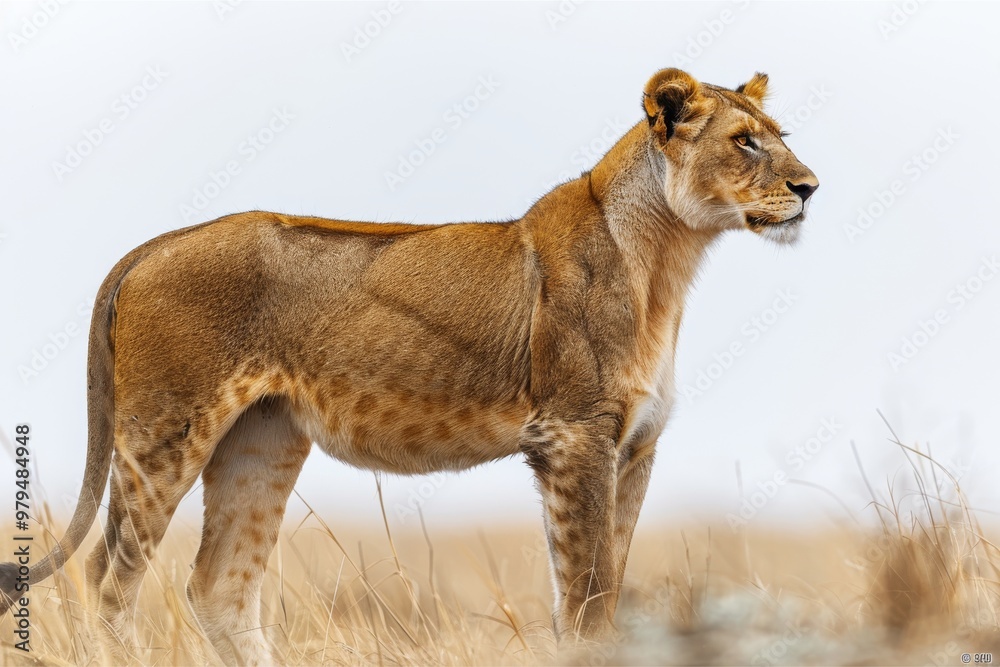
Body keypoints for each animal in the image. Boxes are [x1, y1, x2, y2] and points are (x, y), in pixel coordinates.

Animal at [0, 68, 817, 664]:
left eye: (780, 137)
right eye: (745, 141)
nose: (810, 187)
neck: (668, 261)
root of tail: (155, 242)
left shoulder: (635, 445)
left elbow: (607, 585)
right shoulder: (574, 436)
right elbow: (584, 598)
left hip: (262, 440)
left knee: (219, 586)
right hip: (165, 432)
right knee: (109, 576)